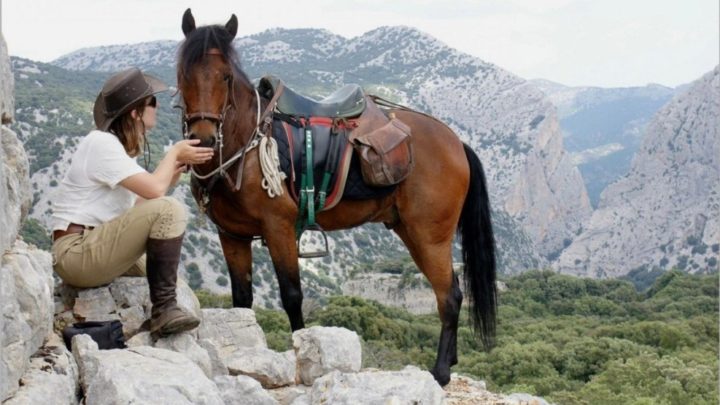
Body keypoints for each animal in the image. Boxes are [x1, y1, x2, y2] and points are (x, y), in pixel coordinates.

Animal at [176, 9, 497, 386]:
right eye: (183, 73)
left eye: (225, 76)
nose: (203, 139)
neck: (247, 144)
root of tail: (455, 142)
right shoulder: (232, 235)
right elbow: (242, 302)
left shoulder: (278, 228)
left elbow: (292, 296)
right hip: (411, 231)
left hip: (429, 236)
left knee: (450, 296)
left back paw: (442, 371)